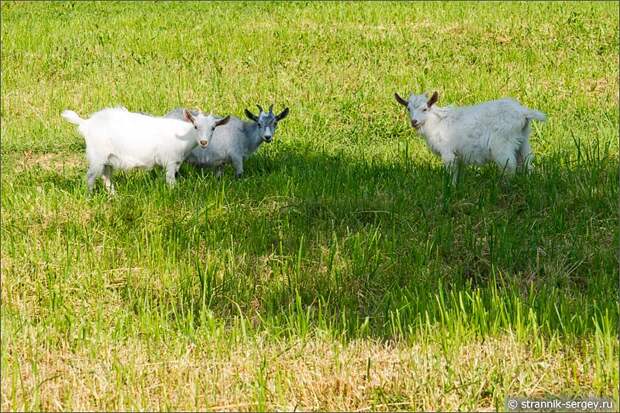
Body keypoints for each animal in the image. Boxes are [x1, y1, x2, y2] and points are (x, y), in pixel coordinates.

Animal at [61, 104, 230, 192]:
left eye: (213, 128)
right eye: (195, 126)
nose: (203, 142)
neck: (184, 136)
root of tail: (86, 124)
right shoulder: (170, 161)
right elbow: (170, 180)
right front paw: (173, 194)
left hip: (107, 158)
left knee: (106, 176)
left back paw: (113, 195)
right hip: (96, 156)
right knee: (90, 177)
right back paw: (90, 196)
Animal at [394, 92, 544, 184]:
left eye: (425, 109)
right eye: (408, 109)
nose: (414, 122)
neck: (437, 123)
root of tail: (523, 112)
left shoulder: (447, 152)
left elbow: (451, 172)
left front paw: (450, 187)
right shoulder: (457, 155)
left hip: (502, 145)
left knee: (510, 166)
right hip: (523, 141)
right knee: (527, 162)